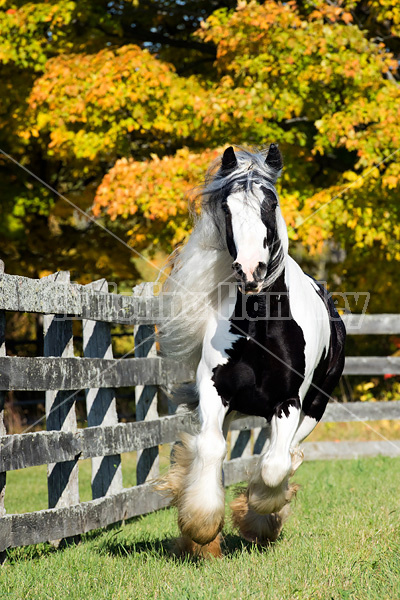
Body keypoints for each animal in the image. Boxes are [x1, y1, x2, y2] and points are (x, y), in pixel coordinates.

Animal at [157, 145, 346, 556]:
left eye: (270, 203)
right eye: (227, 208)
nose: (250, 271)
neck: (260, 325)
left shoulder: (289, 402)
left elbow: (273, 467)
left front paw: (257, 513)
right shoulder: (216, 392)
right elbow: (211, 449)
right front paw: (200, 528)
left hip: (314, 408)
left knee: (288, 454)